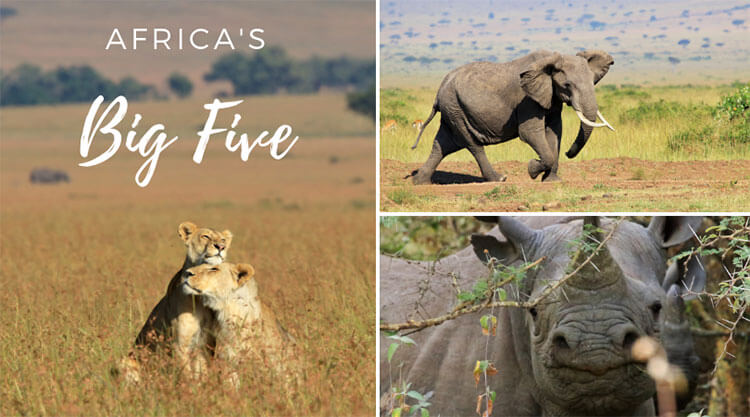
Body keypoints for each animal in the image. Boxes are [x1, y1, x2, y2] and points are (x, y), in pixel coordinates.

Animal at [118, 221, 232, 384]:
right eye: (205, 236)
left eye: (223, 240)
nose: (221, 247)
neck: (200, 296)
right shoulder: (180, 344)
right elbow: (186, 375)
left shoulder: (205, 345)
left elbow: (201, 373)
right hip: (124, 361)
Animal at [412, 49, 616, 183]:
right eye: (567, 85)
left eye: (593, 81)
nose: (568, 153)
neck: (549, 62)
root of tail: (440, 89)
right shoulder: (527, 100)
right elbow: (530, 132)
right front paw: (532, 169)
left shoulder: (551, 96)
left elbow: (555, 131)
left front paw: (551, 181)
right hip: (456, 109)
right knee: (472, 145)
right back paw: (499, 178)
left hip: (452, 109)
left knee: (442, 145)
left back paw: (420, 182)